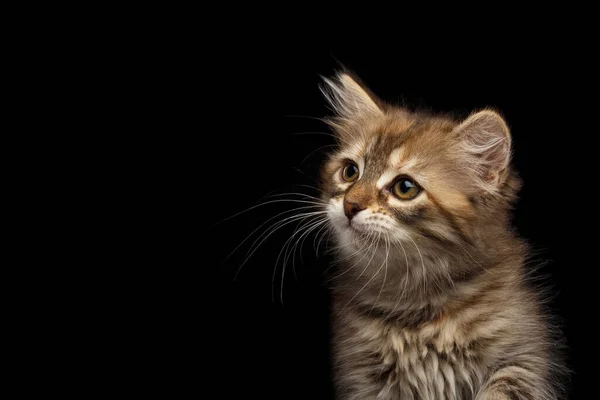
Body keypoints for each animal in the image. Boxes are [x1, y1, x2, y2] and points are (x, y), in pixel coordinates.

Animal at [318, 73, 568, 398]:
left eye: (405, 188)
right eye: (350, 172)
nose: (350, 206)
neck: (414, 302)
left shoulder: (523, 356)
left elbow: (502, 388)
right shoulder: (361, 377)